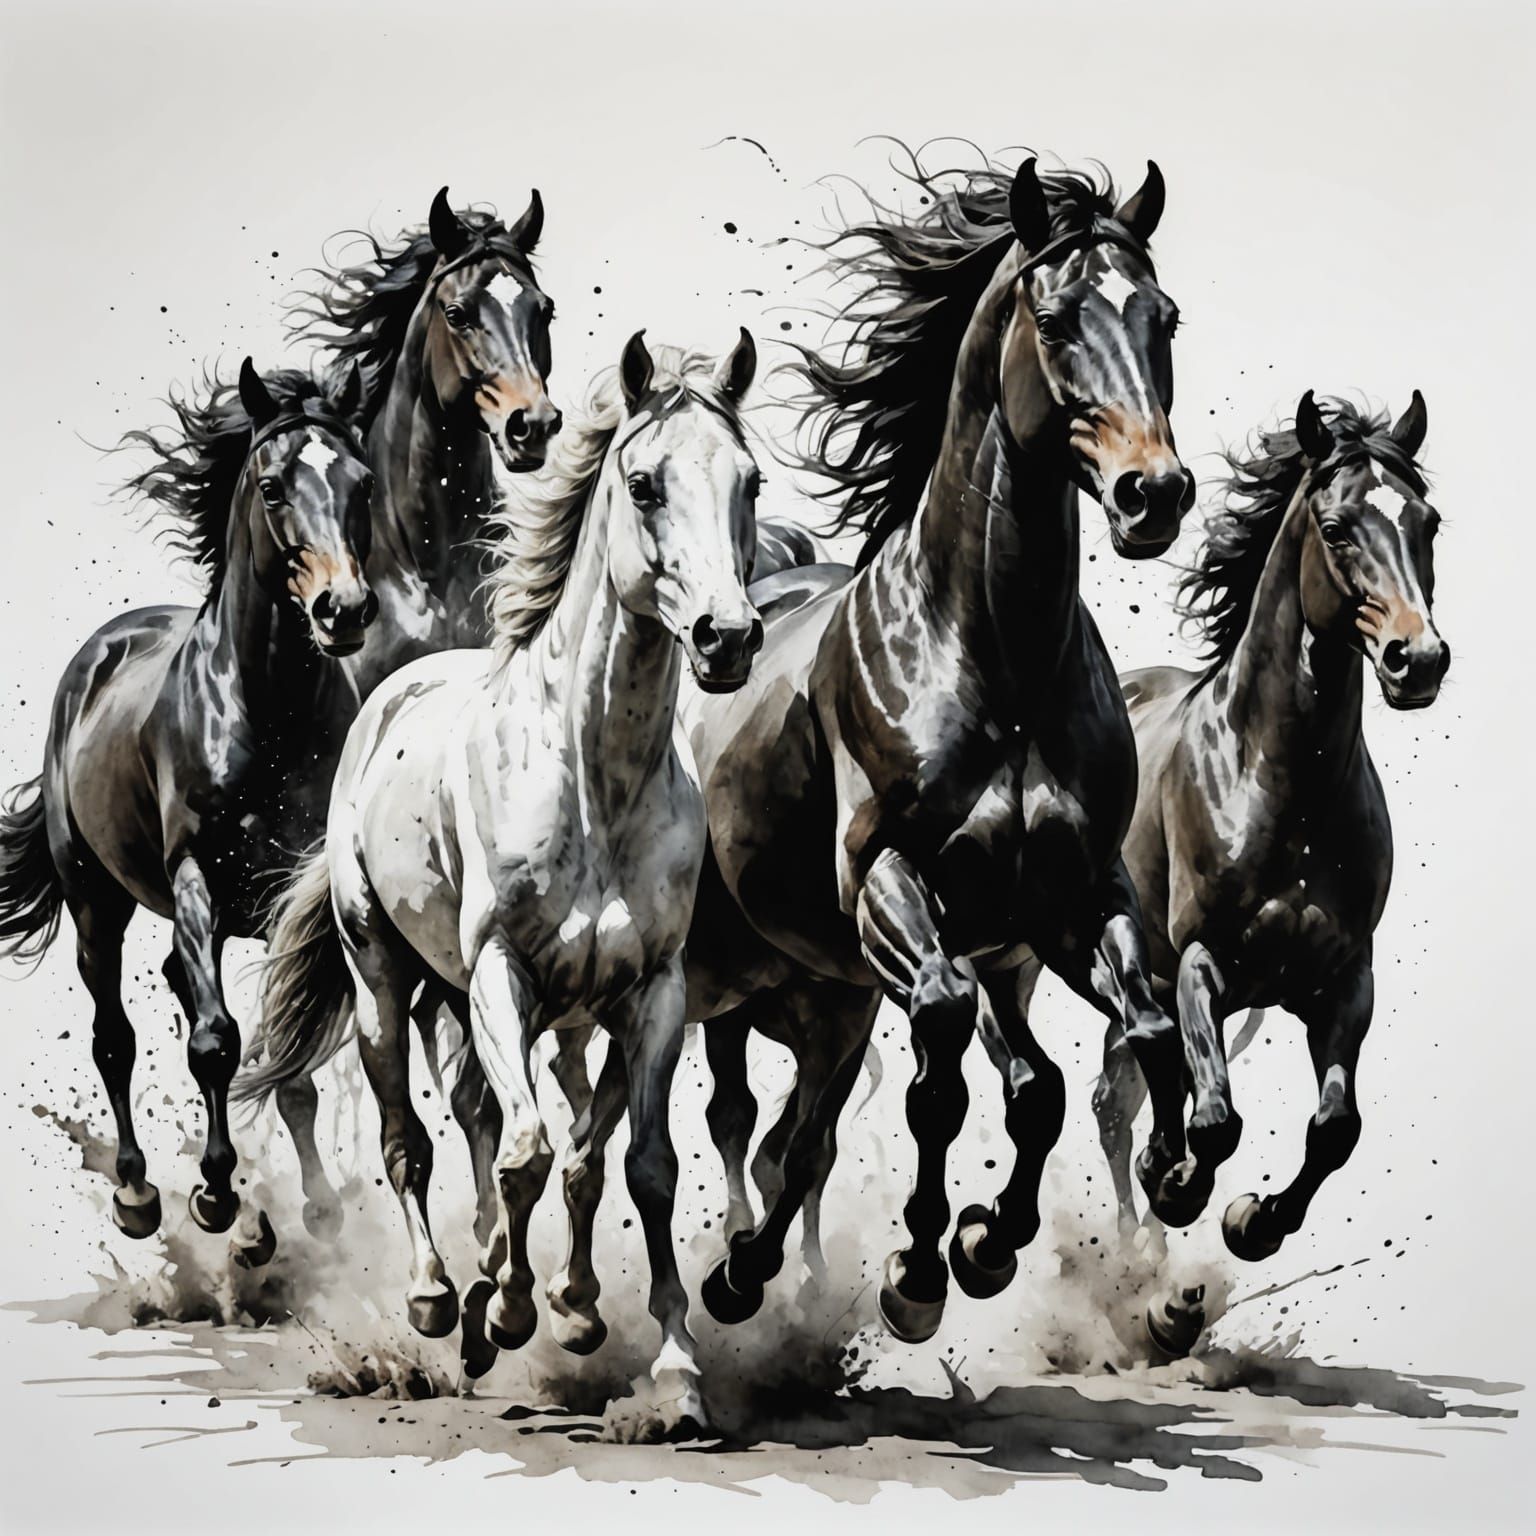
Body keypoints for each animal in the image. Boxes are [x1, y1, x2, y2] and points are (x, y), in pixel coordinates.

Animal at [0, 360, 377, 1256]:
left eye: (364, 482)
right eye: (272, 486)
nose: (344, 611)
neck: (266, 715)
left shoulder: (288, 897)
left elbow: (288, 1054)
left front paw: (316, 1206)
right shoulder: (198, 880)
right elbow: (215, 1043)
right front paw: (215, 1196)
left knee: (178, 984)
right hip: (95, 901)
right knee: (114, 1038)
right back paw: (138, 1192)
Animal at [239, 332, 764, 1436]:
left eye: (751, 481)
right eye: (645, 484)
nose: (728, 638)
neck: (592, 775)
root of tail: (387, 695)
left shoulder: (653, 993)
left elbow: (638, 1165)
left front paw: (668, 1366)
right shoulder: (500, 975)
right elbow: (527, 1151)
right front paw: (521, 1309)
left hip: (498, 1008)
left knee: (502, 1128)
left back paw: (509, 1293)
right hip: (388, 984)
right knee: (413, 1140)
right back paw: (445, 1299)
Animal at [554, 148, 1200, 1349]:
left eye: (1163, 315)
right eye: (1055, 317)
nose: (1155, 494)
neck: (995, 657)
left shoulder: (1073, 896)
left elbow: (1120, 1035)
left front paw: (1095, 1207)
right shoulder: (888, 887)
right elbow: (944, 1068)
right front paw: (923, 1269)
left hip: (822, 993)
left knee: (793, 1137)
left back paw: (747, 1270)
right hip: (722, 980)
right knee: (703, 1123)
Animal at [1089, 391, 1449, 1296]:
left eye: (1426, 521)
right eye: (1338, 525)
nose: (1419, 660)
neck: (1281, 786)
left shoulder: (1345, 982)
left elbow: (1336, 1128)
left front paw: (1253, 1222)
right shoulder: (1198, 964)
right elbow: (1215, 1119)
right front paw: (1182, 1186)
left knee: (1126, 1089)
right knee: (1127, 1095)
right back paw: (1144, 1223)